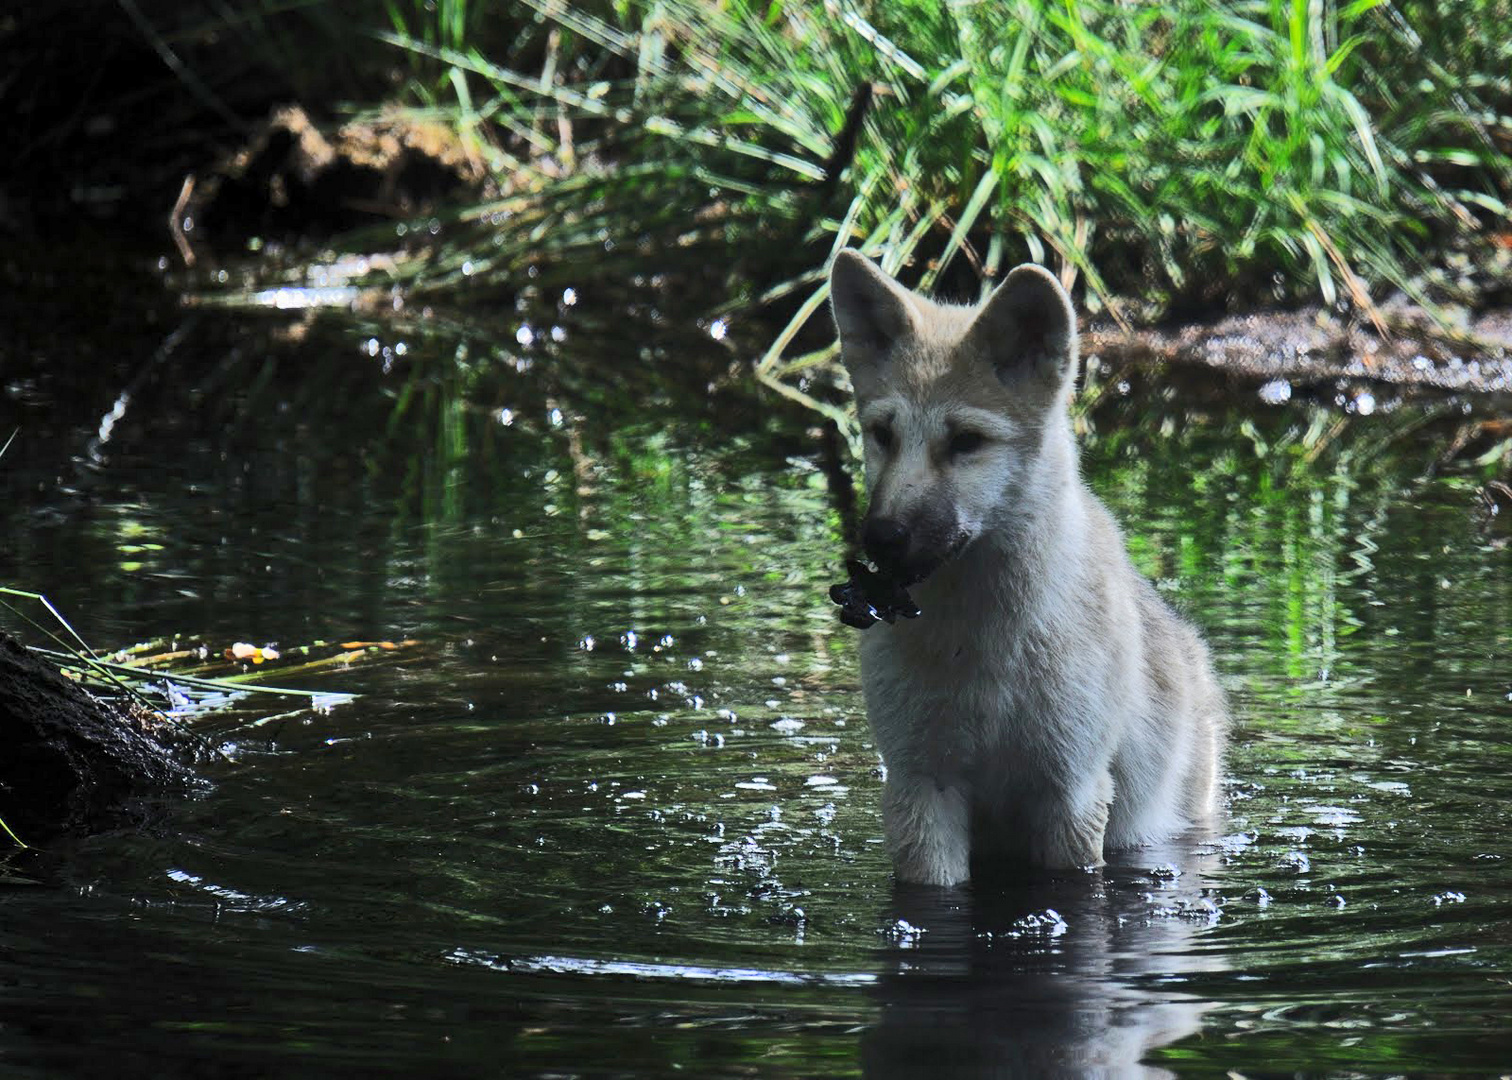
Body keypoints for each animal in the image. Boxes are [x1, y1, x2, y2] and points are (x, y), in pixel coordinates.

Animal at [828, 252, 1227, 883]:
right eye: (883, 435)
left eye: (967, 441)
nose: (882, 538)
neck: (981, 645)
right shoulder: (922, 787)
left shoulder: (1072, 792)